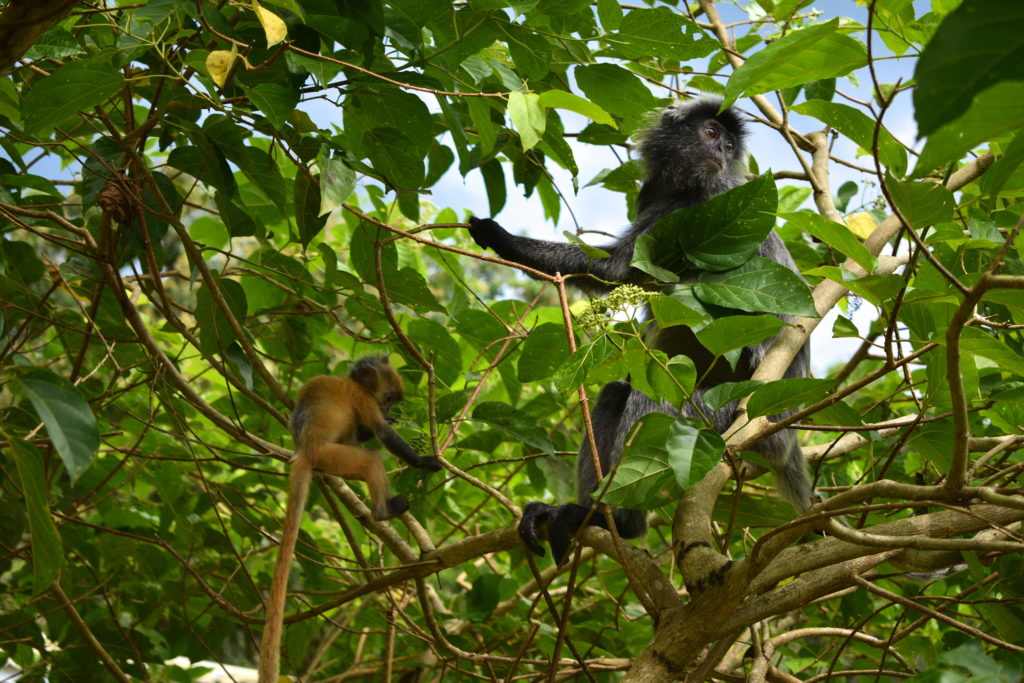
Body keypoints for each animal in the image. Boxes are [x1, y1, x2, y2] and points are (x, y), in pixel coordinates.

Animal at [258, 358, 442, 683]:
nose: (388, 408)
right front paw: (424, 461)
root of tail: (304, 450)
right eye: (388, 397)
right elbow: (382, 433)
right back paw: (383, 511)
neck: (354, 381)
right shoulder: (362, 398)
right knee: (370, 458)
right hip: (332, 455)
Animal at [468, 97, 811, 565]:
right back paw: (590, 515)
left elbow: (616, 269)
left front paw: (501, 237)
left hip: (718, 416)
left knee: (654, 402)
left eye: (728, 144)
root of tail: (785, 433)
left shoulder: (701, 203)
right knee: (616, 393)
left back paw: (617, 520)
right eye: (711, 135)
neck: (678, 187)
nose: (721, 152)